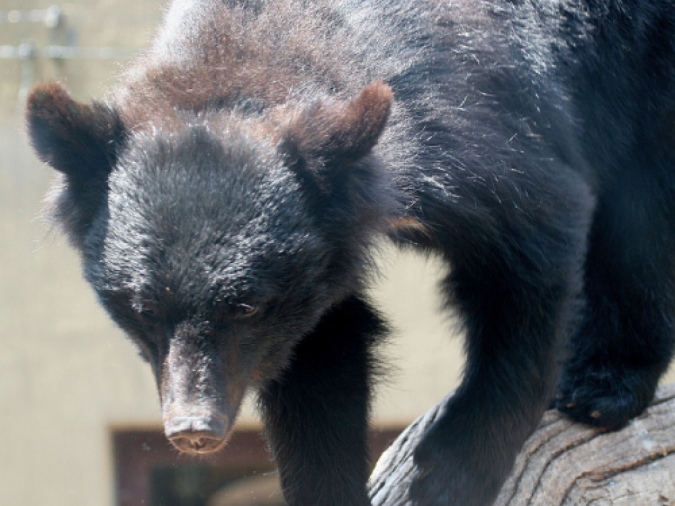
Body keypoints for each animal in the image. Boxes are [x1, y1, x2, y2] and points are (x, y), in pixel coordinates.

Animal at [23, 0, 675, 506]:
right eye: (143, 309)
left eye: (244, 306)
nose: (194, 429)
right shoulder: (314, 267)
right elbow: (323, 359)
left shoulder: (477, 126)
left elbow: (535, 243)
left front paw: (447, 475)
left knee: (643, 208)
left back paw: (602, 386)